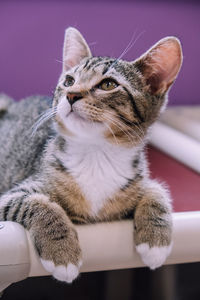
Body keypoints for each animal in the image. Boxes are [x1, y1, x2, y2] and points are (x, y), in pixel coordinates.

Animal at [0, 27, 182, 282]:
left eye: (108, 84)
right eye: (69, 81)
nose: (71, 95)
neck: (96, 153)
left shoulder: (137, 178)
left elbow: (156, 189)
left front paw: (156, 242)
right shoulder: (11, 195)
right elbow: (36, 203)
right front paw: (62, 252)